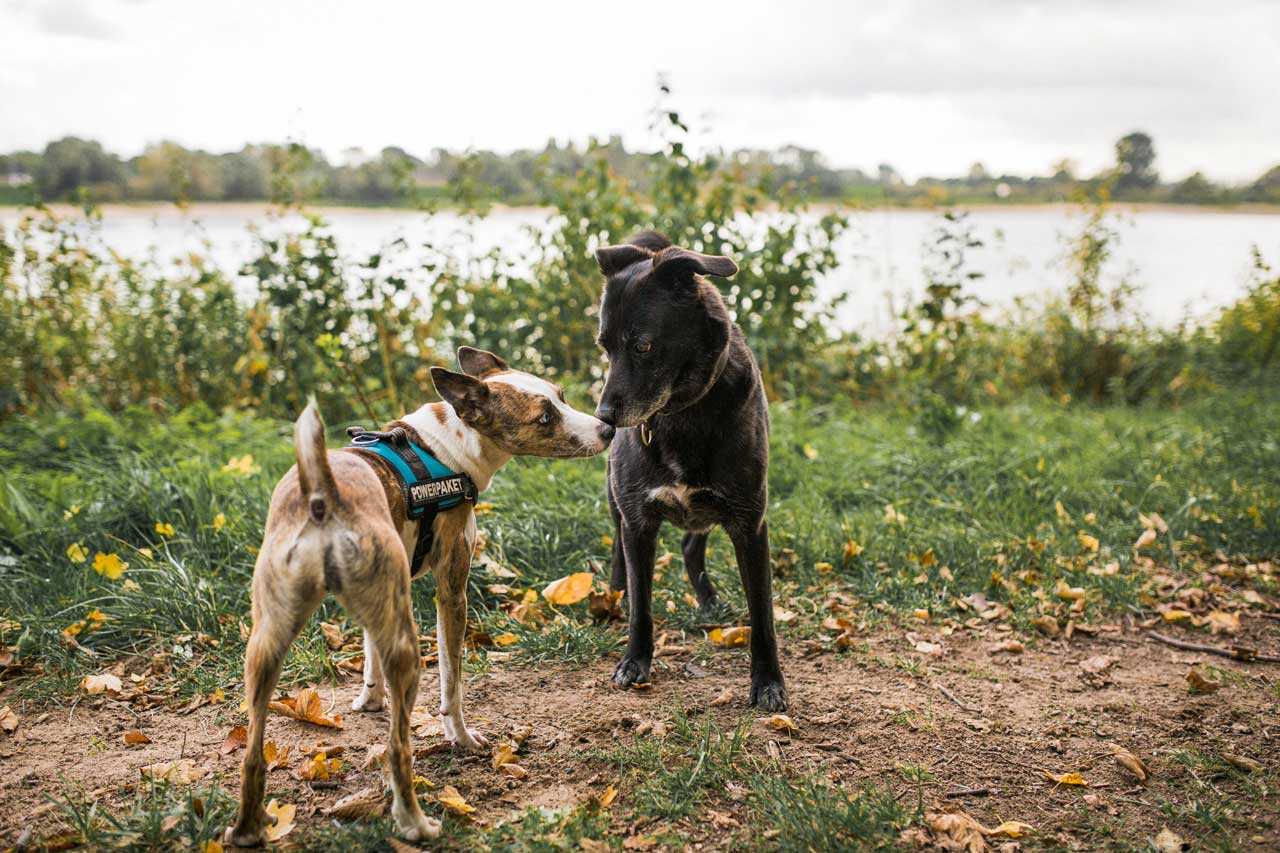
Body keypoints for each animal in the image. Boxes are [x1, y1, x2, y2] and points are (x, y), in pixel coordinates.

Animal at [226, 345, 614, 845]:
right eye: (545, 417)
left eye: (561, 398)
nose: (607, 429)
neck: (442, 446)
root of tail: (322, 494)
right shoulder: (451, 591)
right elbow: (452, 682)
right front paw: (461, 737)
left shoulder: (393, 590)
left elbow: (369, 652)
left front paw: (369, 698)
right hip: (407, 648)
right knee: (397, 749)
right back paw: (415, 823)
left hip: (266, 645)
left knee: (253, 754)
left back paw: (247, 828)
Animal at [593, 229, 783, 706]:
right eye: (604, 347)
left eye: (642, 345)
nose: (603, 419)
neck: (681, 413)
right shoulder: (638, 521)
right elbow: (642, 606)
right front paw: (634, 661)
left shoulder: (750, 524)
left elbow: (763, 616)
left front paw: (768, 683)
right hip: (616, 502)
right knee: (620, 552)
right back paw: (614, 596)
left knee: (690, 545)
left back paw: (709, 600)